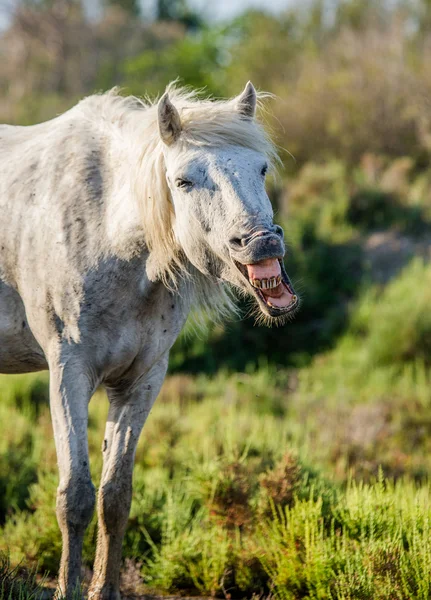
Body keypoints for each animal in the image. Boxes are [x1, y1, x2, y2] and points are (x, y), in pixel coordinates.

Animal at [0, 82, 298, 596]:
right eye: (183, 181)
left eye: (260, 168)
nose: (263, 244)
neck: (106, 230)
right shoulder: (68, 373)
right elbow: (74, 497)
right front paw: (68, 588)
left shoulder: (141, 380)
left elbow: (115, 496)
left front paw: (105, 588)